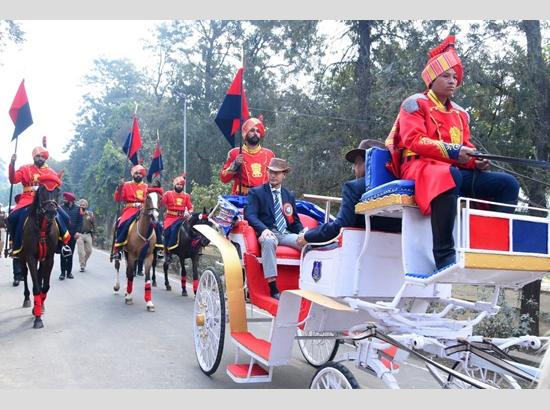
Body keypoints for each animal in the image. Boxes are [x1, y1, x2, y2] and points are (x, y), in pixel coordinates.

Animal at [19, 175, 62, 328]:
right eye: (43, 188)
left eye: (57, 190)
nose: (51, 212)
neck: (42, 229)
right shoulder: (30, 257)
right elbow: (36, 287)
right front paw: (38, 319)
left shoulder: (49, 258)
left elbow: (45, 286)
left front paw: (39, 308)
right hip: (22, 257)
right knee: (25, 274)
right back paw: (27, 299)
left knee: (38, 275)